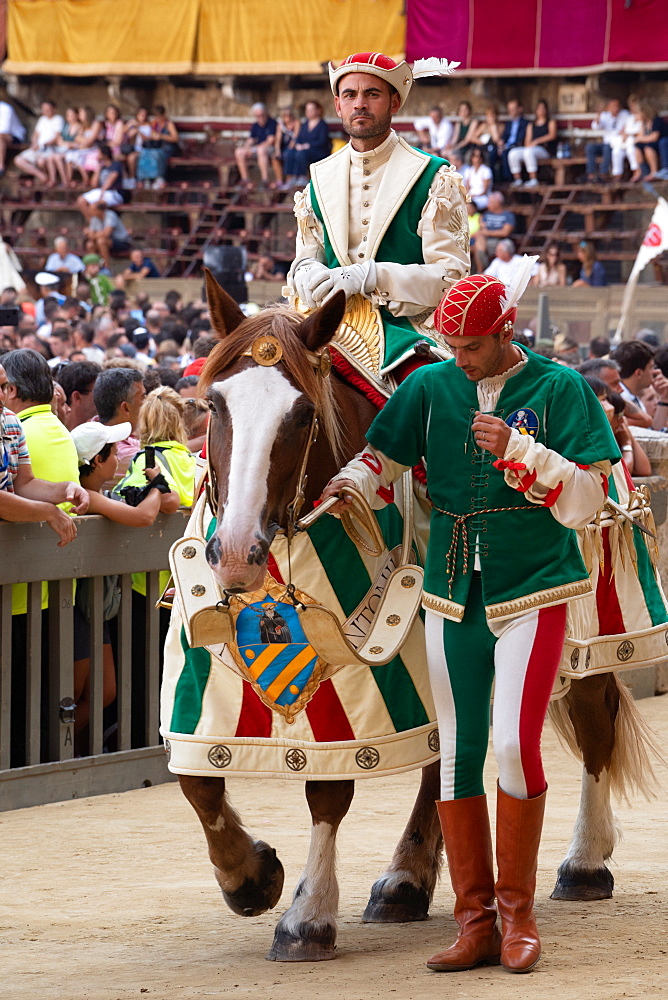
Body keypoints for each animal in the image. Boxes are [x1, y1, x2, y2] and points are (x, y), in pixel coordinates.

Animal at [168, 274, 664, 960]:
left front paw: (307, 917)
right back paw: (407, 880)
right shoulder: (203, 681)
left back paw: (581, 863)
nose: (237, 553)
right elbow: (198, 782)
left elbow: (330, 789)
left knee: (593, 724)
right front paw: (250, 876)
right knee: (448, 756)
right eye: (214, 405)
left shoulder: (359, 688)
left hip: (587, 631)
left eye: (301, 414)